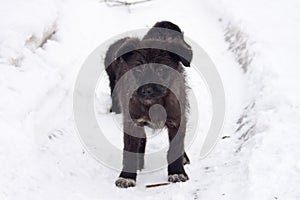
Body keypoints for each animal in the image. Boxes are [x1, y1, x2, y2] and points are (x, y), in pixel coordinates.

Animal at [104, 21, 191, 188]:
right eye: (138, 70)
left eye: (162, 70)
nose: (146, 90)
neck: (154, 104)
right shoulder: (132, 122)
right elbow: (130, 150)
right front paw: (127, 176)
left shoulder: (177, 120)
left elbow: (175, 147)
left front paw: (177, 172)